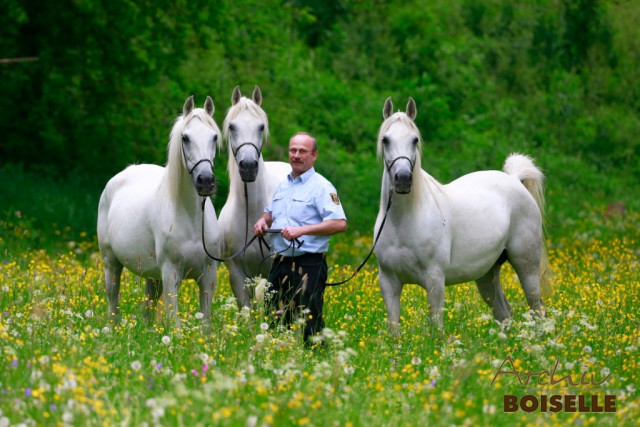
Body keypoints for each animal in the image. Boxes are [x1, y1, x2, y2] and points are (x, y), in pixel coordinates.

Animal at [97, 97, 222, 328]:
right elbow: (175, 323)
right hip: (111, 263)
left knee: (148, 306)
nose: (206, 181)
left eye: (214, 136)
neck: (191, 219)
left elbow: (206, 324)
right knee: (113, 301)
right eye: (185, 138)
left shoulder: (209, 275)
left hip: (153, 276)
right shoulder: (171, 274)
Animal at [219, 86, 292, 308]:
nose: (249, 166)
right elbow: (246, 310)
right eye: (232, 127)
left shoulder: (271, 271)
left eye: (261, 127)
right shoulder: (237, 273)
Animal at [376, 98, 552, 334]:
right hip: (487, 274)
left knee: (537, 310)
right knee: (504, 313)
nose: (403, 179)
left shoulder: (435, 280)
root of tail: (515, 180)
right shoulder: (389, 283)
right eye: (385, 140)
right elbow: (394, 332)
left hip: (526, 267)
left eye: (415, 140)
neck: (403, 221)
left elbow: (436, 329)